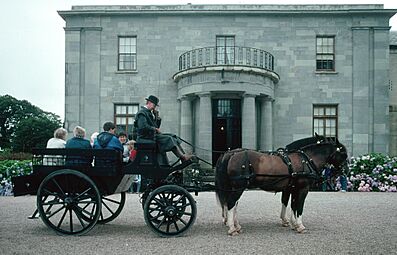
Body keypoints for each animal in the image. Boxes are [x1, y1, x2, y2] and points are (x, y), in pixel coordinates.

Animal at [213, 134, 346, 236]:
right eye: (343, 153)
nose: (345, 170)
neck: (306, 160)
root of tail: (231, 154)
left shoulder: (292, 188)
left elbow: (292, 205)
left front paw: (292, 223)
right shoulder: (302, 189)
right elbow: (299, 207)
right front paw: (299, 225)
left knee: (233, 204)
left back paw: (236, 225)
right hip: (238, 188)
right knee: (231, 204)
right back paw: (232, 228)